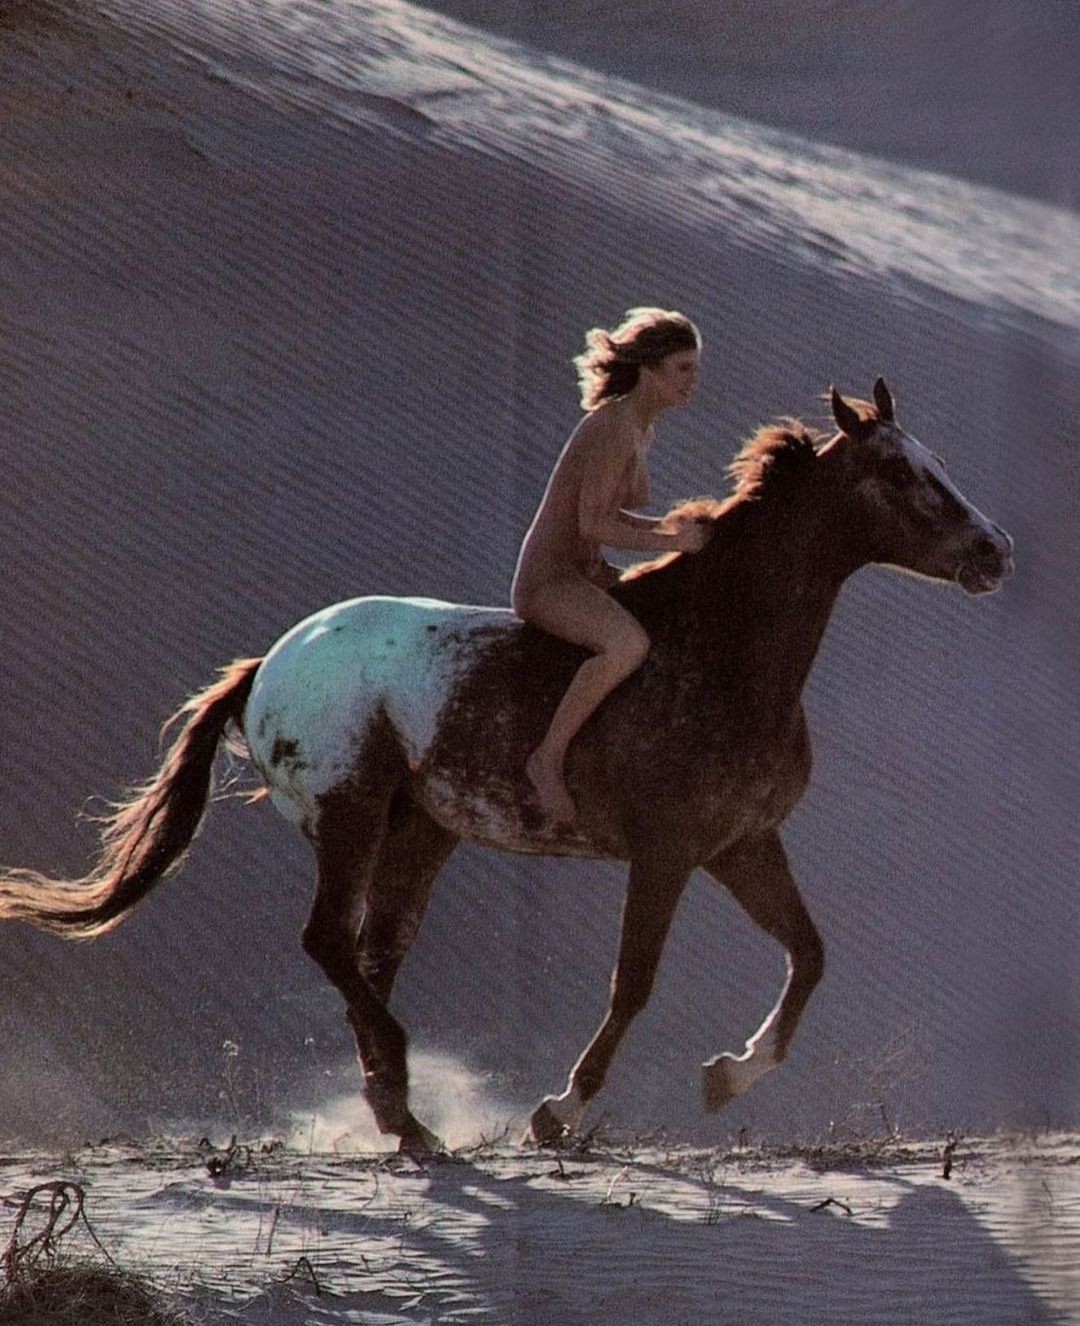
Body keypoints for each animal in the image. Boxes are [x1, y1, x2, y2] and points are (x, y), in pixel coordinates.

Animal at [0, 379, 1012, 1153]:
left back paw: (402, 1115)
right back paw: (404, 1089)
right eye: (898, 472)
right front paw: (558, 1113)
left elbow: (809, 956)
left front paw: (727, 1077)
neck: (725, 651)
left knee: (372, 955)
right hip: (351, 816)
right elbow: (634, 983)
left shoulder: (742, 845)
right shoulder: (667, 852)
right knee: (329, 944)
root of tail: (269, 664)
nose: (994, 551)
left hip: (420, 831)